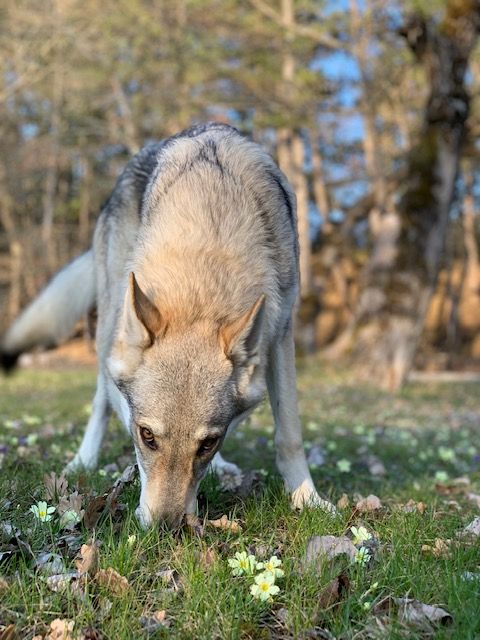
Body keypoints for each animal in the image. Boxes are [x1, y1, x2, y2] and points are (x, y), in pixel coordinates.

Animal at [1, 122, 334, 528]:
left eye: (207, 443)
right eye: (147, 436)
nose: (165, 527)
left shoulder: (281, 337)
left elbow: (288, 435)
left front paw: (308, 499)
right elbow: (119, 411)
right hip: (108, 323)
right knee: (101, 400)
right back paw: (83, 460)